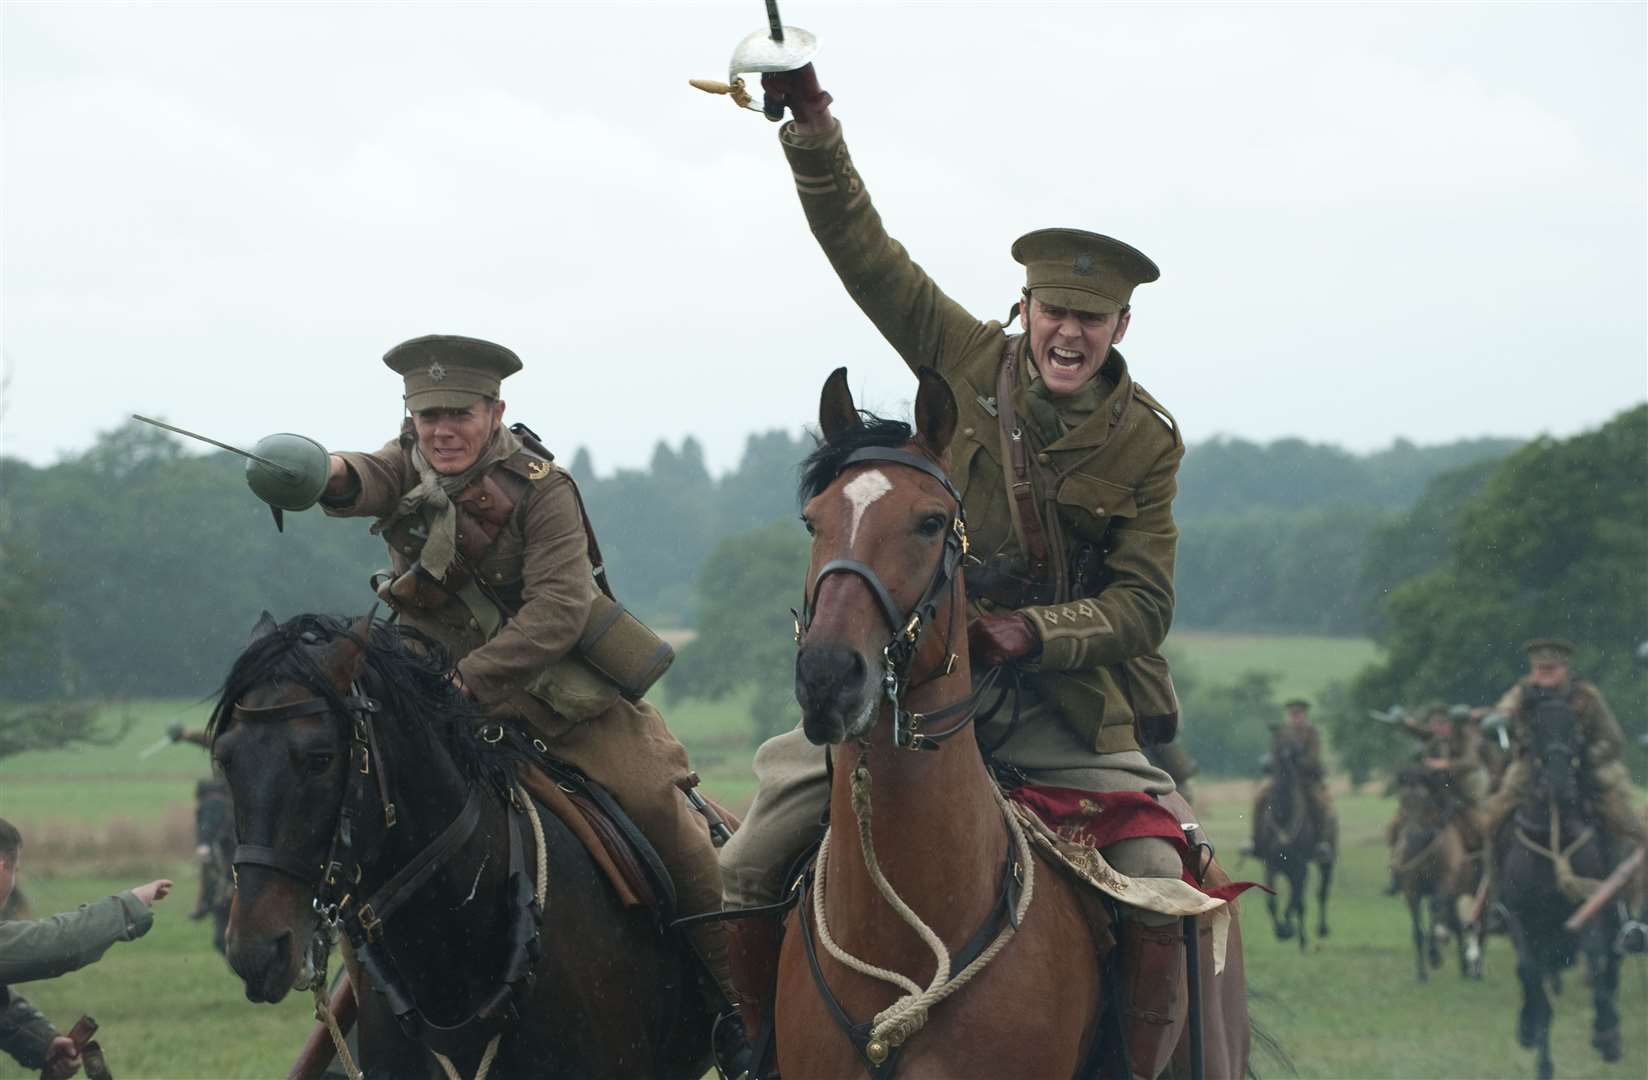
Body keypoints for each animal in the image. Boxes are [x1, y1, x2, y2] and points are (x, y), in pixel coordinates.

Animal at [1252, 738, 1331, 949]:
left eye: (1292, 763)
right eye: (1273, 765)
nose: (1278, 807)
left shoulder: (1301, 868)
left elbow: (1295, 902)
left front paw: (1288, 930)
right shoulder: (1271, 865)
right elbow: (1272, 903)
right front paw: (1281, 930)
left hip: (1325, 864)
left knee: (1321, 892)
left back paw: (1316, 931)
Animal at [1390, 765, 1483, 982]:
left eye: (1424, 801)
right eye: (1402, 799)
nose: (1413, 837)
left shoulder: (1445, 883)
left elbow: (1434, 908)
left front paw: (1434, 956)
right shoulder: (1412, 891)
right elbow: (1417, 931)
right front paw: (1422, 973)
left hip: (1474, 890)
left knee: (1476, 925)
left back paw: (1475, 970)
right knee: (1458, 926)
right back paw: (1464, 968)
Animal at [1496, 692, 1621, 1080]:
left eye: (1575, 731)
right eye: (1535, 730)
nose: (1560, 785)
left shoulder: (1590, 908)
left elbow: (1595, 959)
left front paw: (1606, 1034)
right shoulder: (1520, 919)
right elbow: (1531, 977)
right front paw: (1541, 1056)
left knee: (1609, 962)